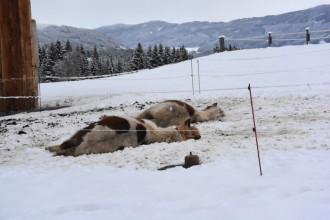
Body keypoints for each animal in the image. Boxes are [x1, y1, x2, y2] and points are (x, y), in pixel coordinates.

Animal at [45, 115, 201, 156]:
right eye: (193, 131)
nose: (199, 136)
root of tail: (90, 142)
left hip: (82, 134)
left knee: (66, 146)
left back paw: (52, 149)